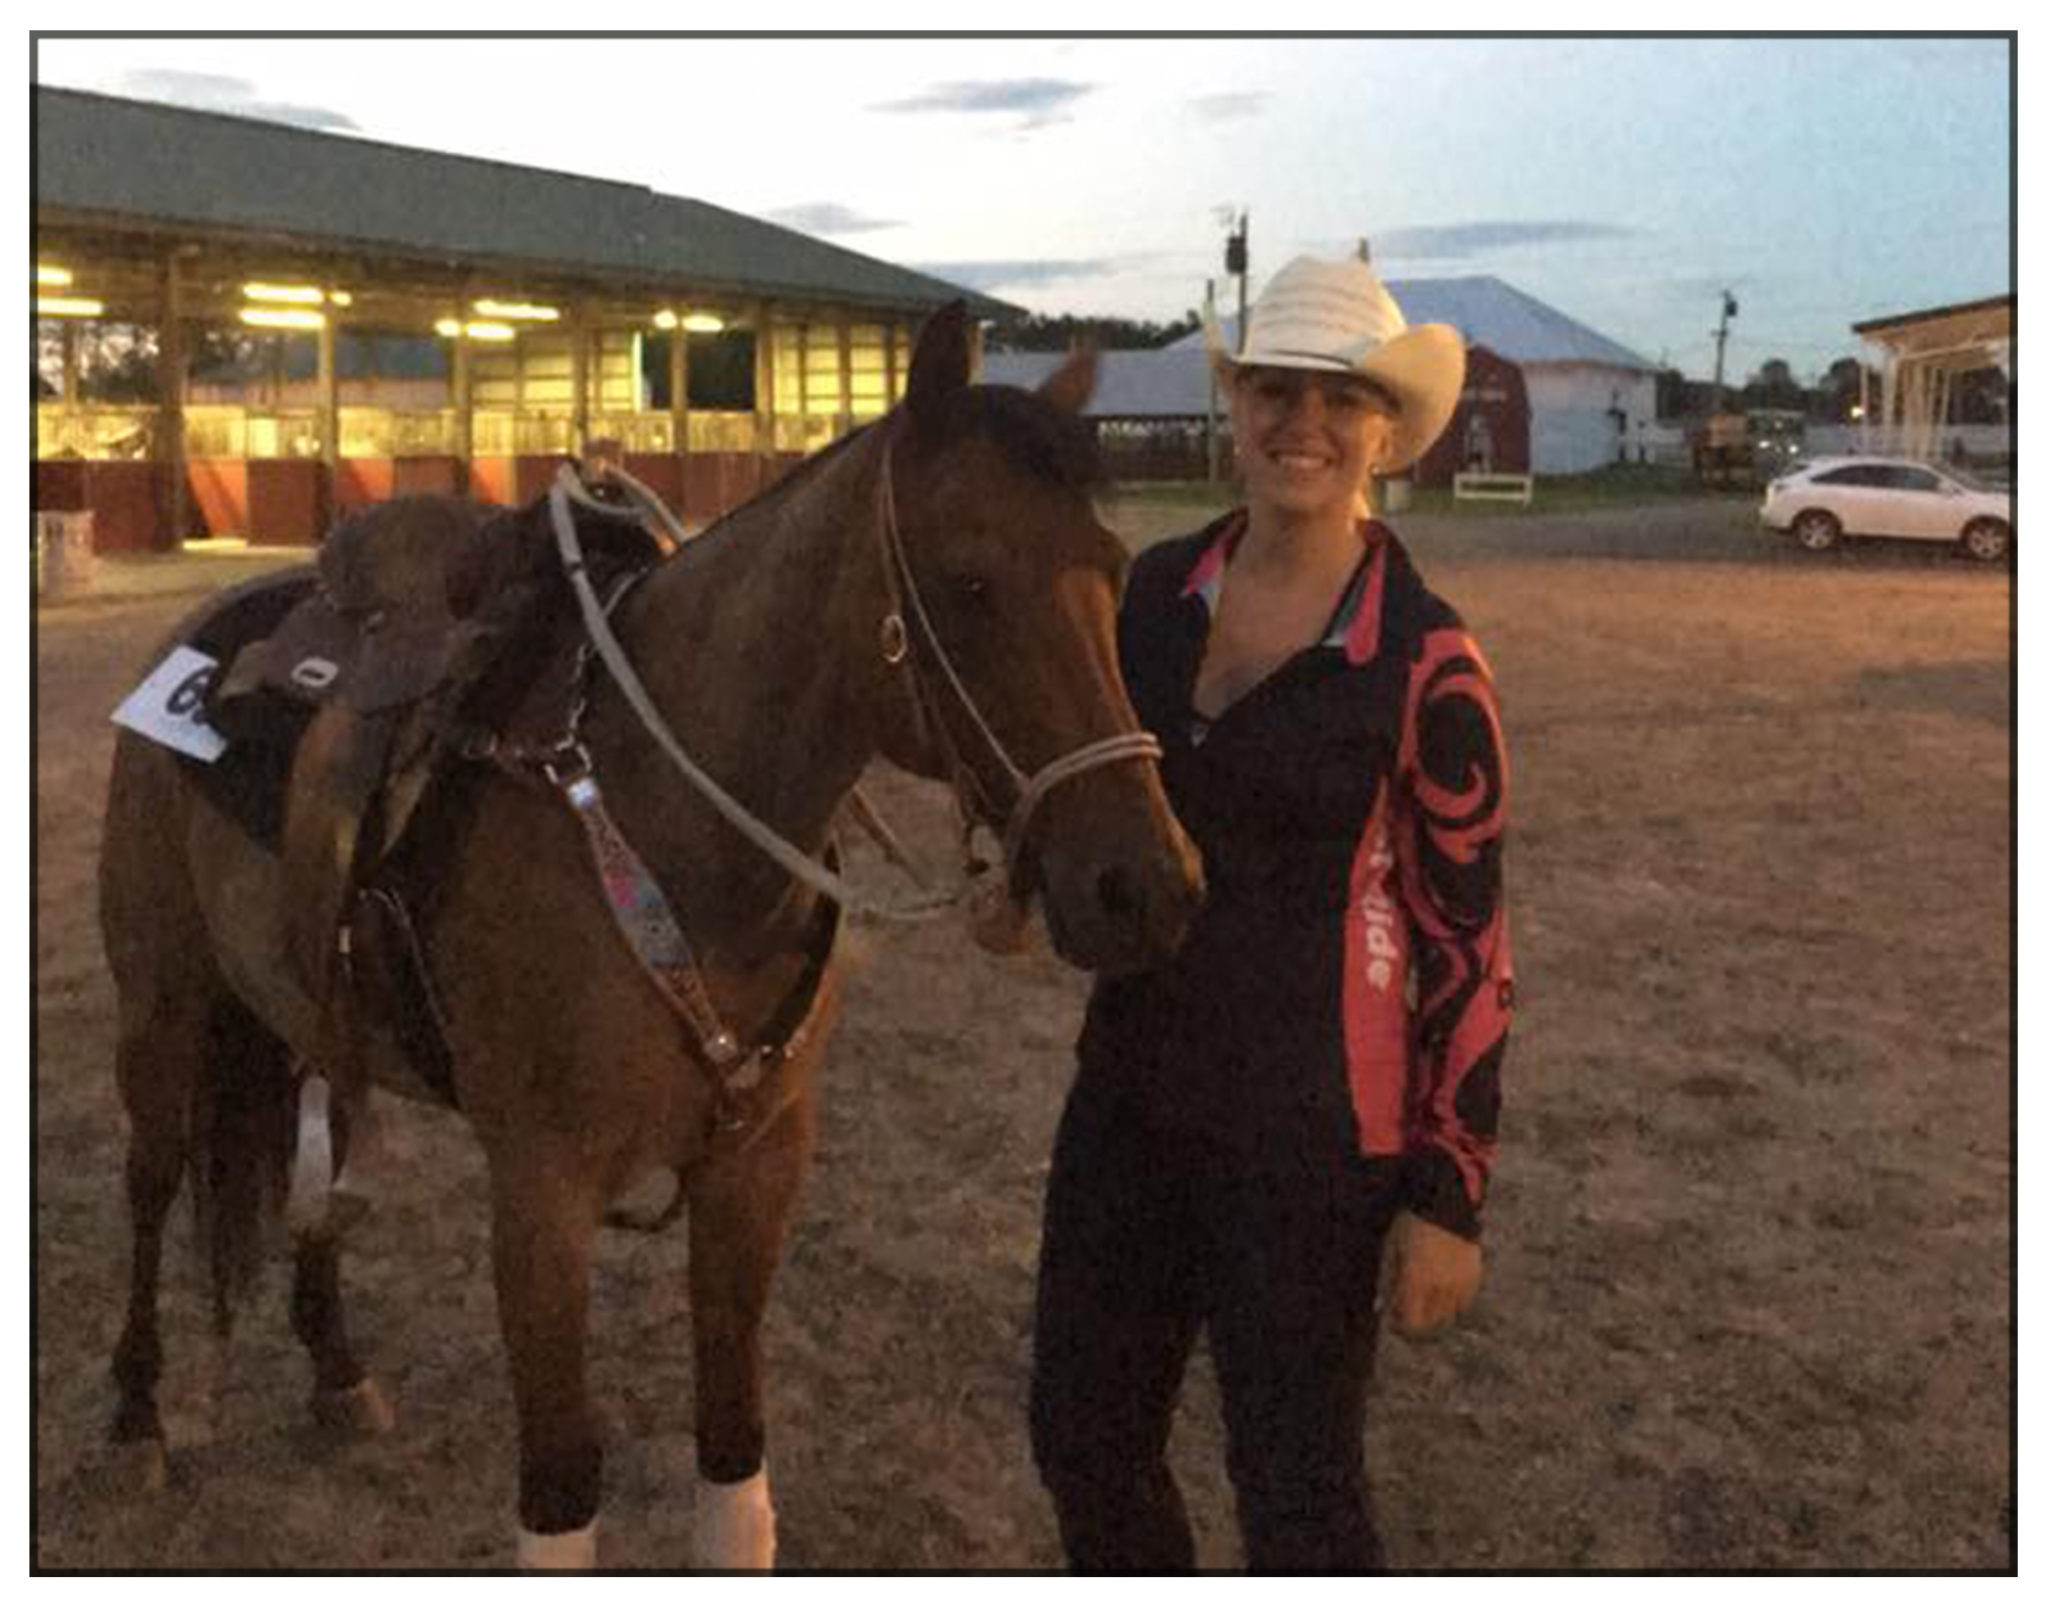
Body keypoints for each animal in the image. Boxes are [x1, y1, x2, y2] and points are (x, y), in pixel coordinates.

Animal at [96, 305, 1204, 1563]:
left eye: (1113, 571)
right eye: (967, 581)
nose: (1147, 886)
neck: (672, 835)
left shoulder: (754, 1167)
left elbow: (731, 1454)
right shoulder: (540, 1195)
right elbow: (561, 1483)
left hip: (309, 1015)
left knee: (310, 1171)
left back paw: (335, 1368)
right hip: (161, 1010)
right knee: (151, 1181)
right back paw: (136, 1417)